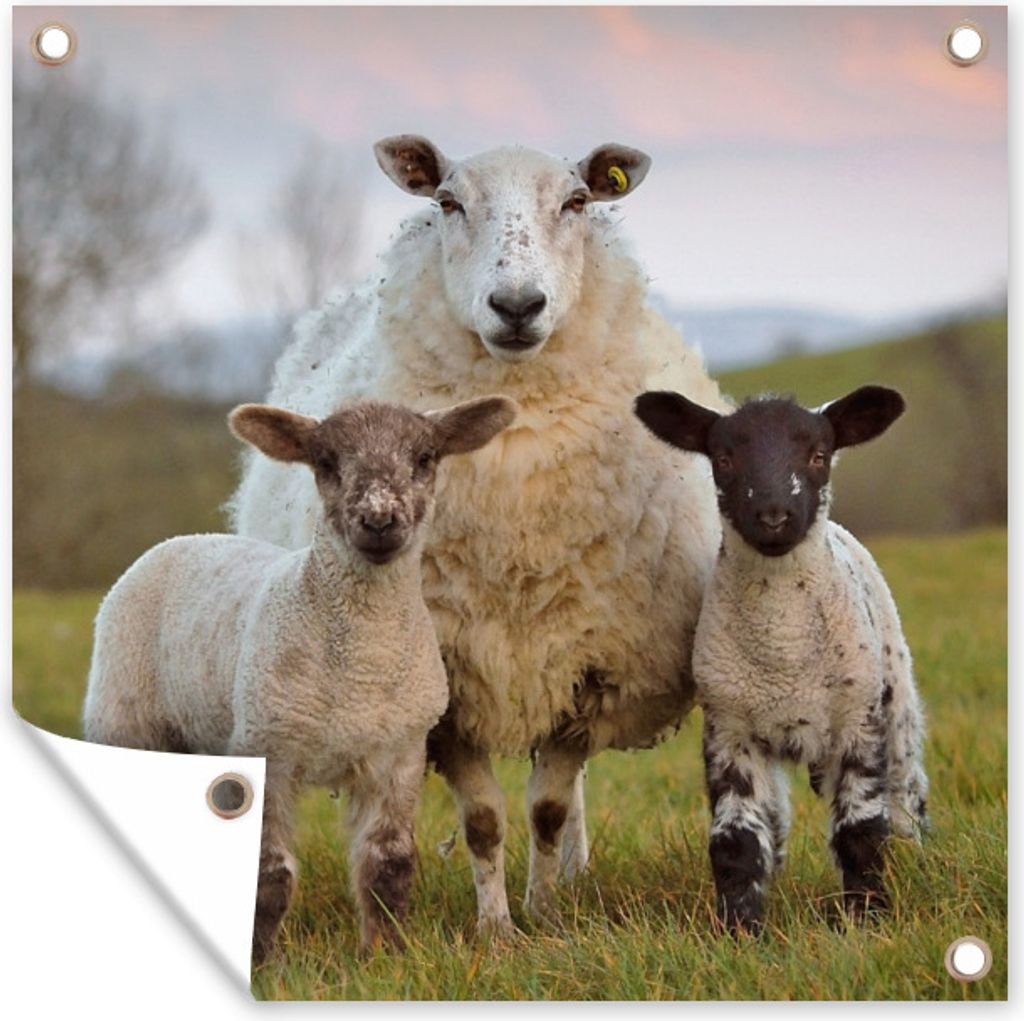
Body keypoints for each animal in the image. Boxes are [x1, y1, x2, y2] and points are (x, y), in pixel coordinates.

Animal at [82, 395, 517, 962]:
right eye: (327, 462)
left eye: (425, 457)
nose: (379, 519)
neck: (360, 667)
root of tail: (187, 538)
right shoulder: (269, 747)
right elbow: (269, 874)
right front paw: (263, 962)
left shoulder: (399, 753)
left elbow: (389, 865)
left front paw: (386, 955)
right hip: (123, 712)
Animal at [229, 135, 729, 930]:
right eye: (448, 202)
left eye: (577, 202)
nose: (517, 305)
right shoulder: (450, 683)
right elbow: (485, 821)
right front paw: (495, 927)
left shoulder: (585, 667)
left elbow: (548, 808)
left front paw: (546, 914)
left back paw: (574, 875)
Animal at [634, 384, 929, 933]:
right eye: (723, 459)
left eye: (819, 455)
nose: (773, 517)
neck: (784, 649)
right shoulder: (730, 730)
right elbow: (737, 841)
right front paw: (740, 929)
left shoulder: (859, 723)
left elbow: (861, 830)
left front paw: (867, 920)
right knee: (775, 822)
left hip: (895, 701)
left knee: (905, 802)